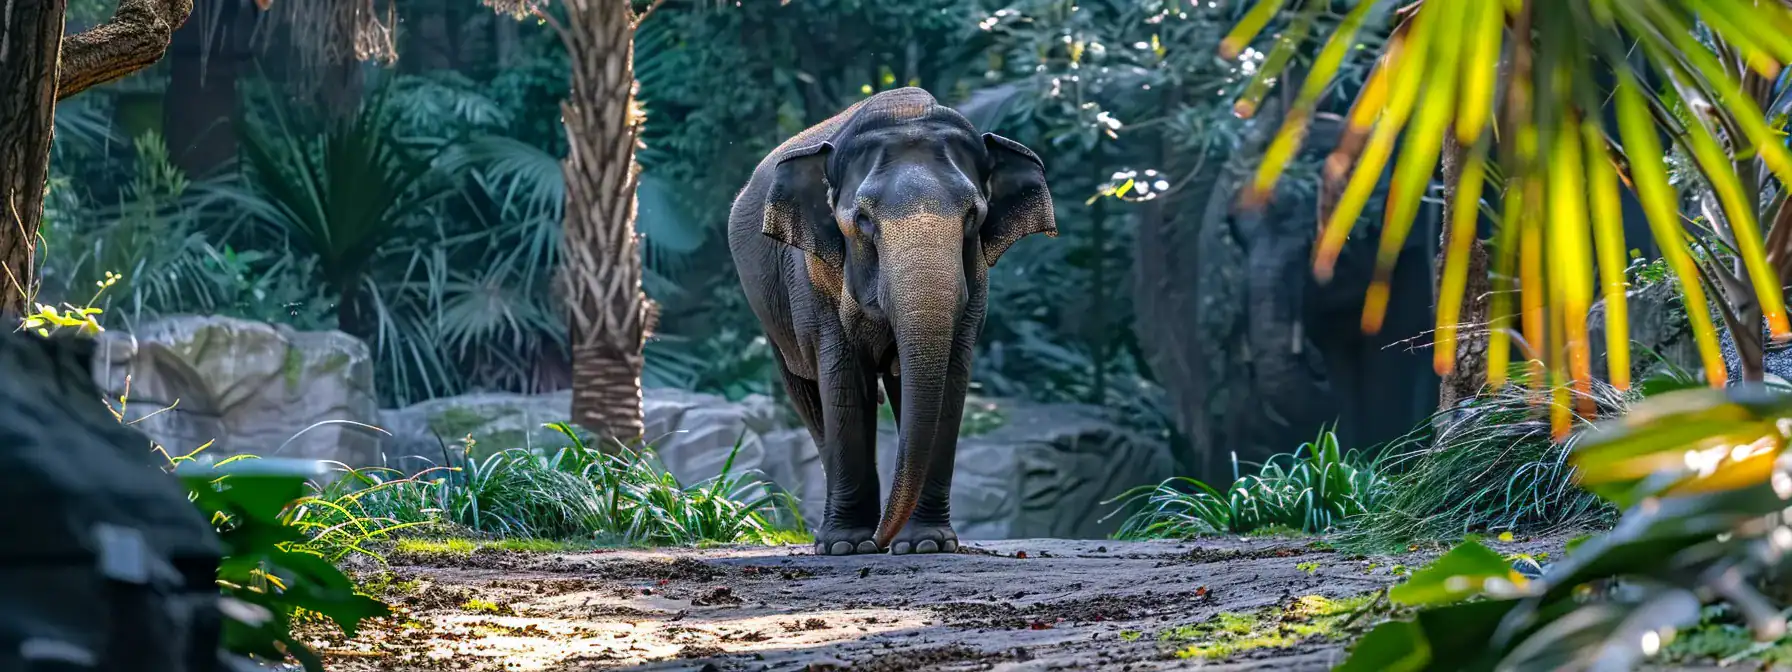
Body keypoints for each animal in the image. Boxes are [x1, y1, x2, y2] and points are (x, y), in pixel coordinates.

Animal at [728, 87, 1056, 556]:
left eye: (973, 216)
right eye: (863, 221)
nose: (881, 540)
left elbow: (949, 382)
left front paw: (927, 544)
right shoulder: (809, 275)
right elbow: (843, 378)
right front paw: (845, 547)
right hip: (773, 318)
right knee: (808, 396)